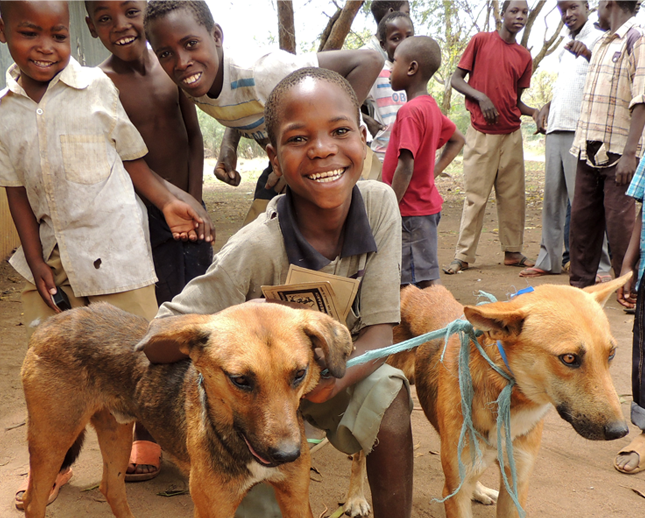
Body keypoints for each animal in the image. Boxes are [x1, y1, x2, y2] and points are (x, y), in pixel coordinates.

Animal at [20, 302, 352, 516]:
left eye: (299, 374)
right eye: (240, 380)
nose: (287, 455)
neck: (238, 443)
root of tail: (52, 322)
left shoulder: (295, 496)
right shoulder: (213, 508)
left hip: (117, 433)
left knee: (111, 488)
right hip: (52, 440)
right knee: (34, 503)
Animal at [342, 280, 628, 518]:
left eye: (611, 354)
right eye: (569, 358)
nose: (620, 431)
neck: (505, 397)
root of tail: (410, 290)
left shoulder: (517, 484)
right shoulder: (454, 495)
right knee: (359, 455)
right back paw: (355, 498)